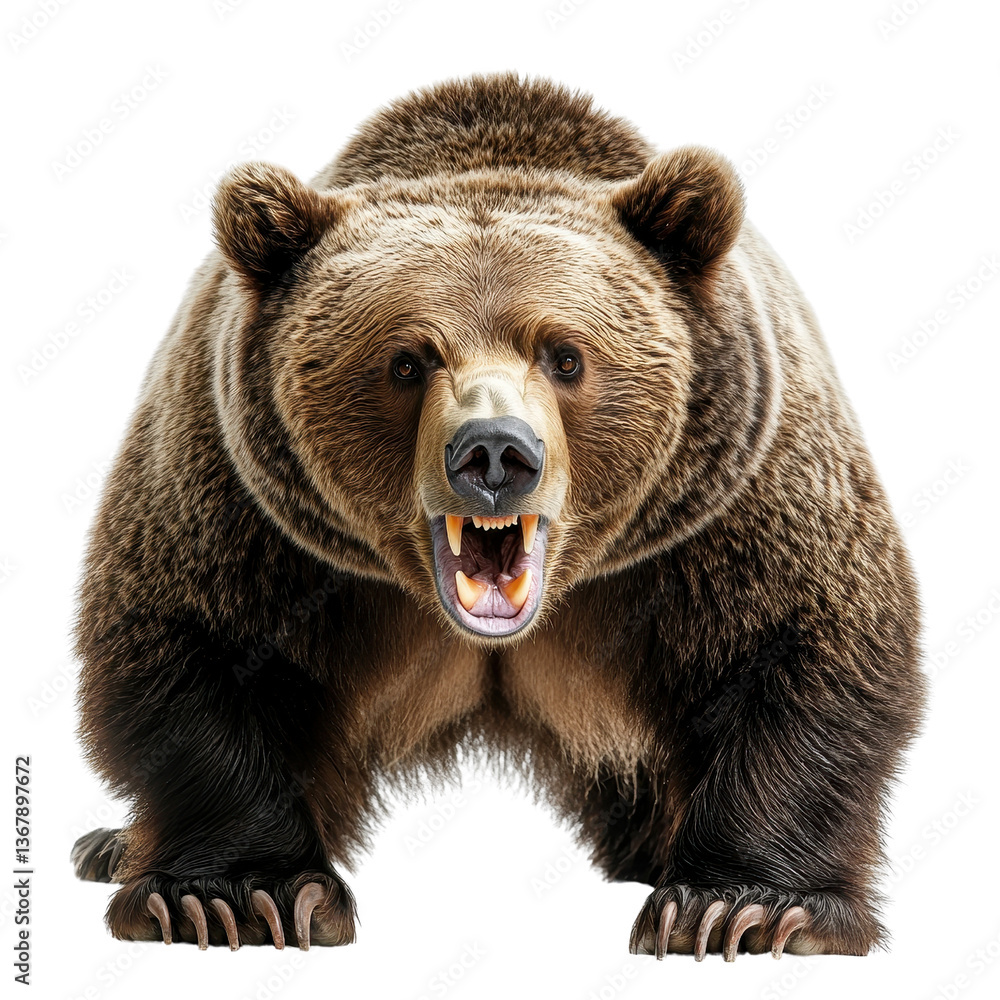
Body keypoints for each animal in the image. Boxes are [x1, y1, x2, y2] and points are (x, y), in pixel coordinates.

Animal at [71, 73, 926, 958]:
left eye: (566, 355)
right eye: (406, 360)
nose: (492, 454)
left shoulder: (728, 506)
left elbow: (799, 648)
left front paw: (743, 907)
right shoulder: (247, 507)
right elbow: (197, 648)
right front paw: (231, 895)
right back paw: (107, 845)